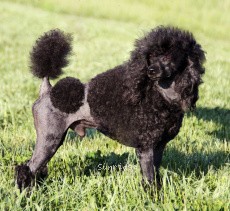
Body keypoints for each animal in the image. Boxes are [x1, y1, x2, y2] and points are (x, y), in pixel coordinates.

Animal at [15, 25, 206, 190]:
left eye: (167, 57)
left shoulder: (159, 146)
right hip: (49, 137)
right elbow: (149, 179)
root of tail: (47, 91)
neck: (162, 96)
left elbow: (155, 175)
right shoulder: (145, 148)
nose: (150, 71)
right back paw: (26, 191)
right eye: (151, 57)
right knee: (28, 168)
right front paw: (152, 197)